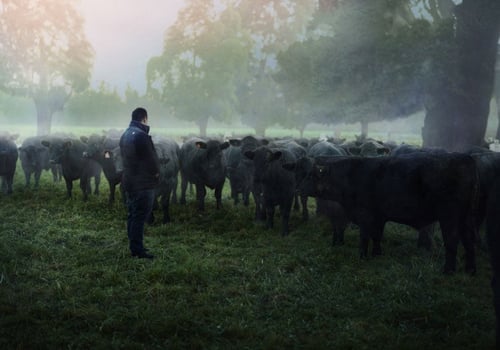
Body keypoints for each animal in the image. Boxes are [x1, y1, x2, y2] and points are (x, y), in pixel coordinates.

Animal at [306, 153, 478, 274]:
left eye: (310, 175)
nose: (300, 188)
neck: (351, 175)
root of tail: (465, 158)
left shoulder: (365, 217)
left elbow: (365, 238)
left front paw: (362, 256)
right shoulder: (379, 217)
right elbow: (376, 236)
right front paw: (376, 254)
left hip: (449, 218)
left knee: (452, 241)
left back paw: (448, 271)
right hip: (465, 219)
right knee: (469, 241)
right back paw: (470, 270)